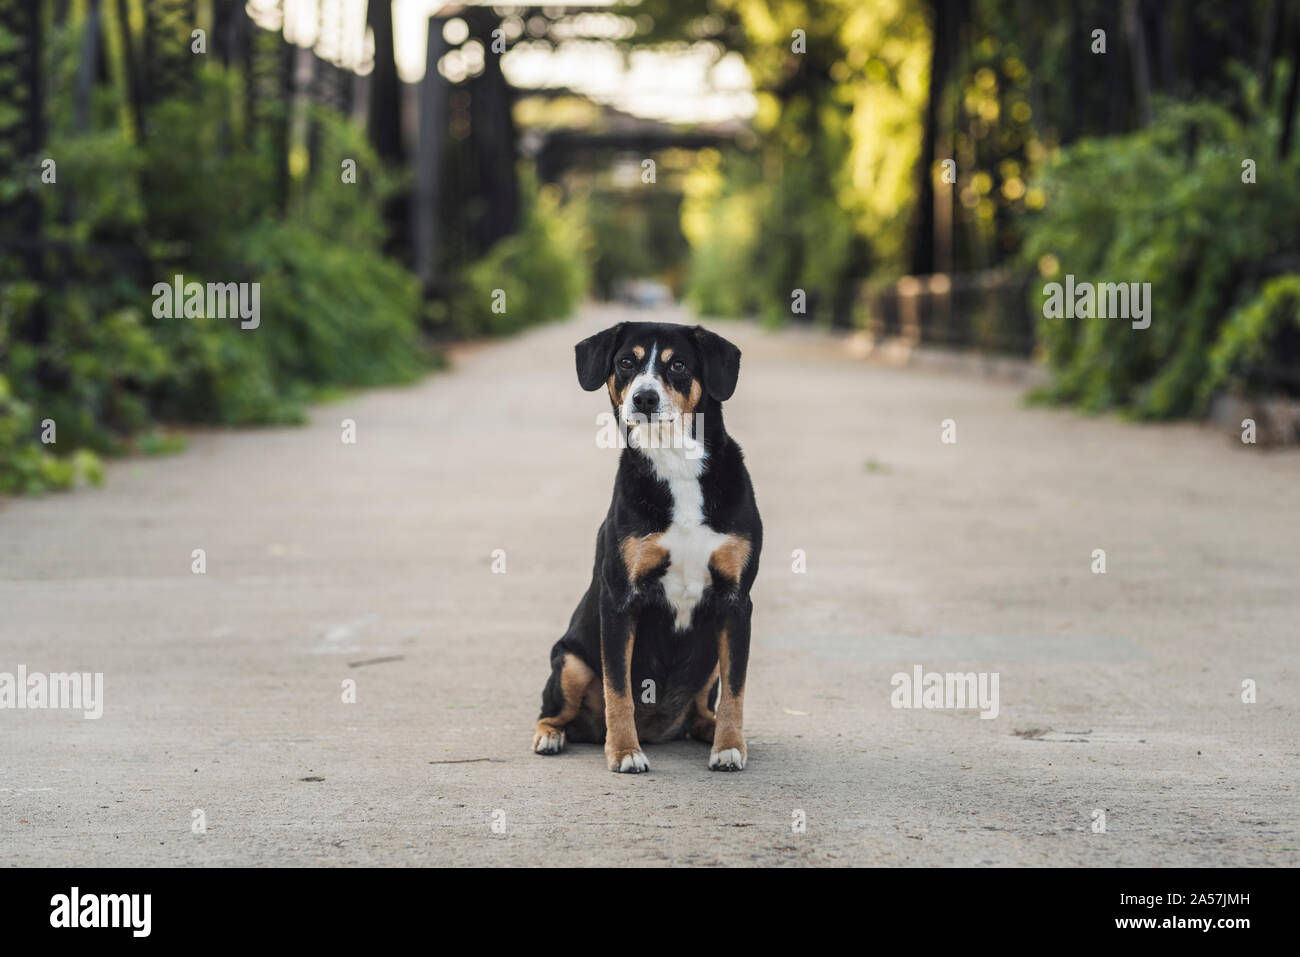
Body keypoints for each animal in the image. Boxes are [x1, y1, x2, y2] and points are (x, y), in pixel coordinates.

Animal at [530, 325, 759, 774]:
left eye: (678, 364)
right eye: (626, 362)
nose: (645, 398)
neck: (677, 466)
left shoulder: (737, 603)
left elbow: (736, 691)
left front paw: (729, 746)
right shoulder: (620, 601)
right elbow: (617, 689)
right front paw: (623, 752)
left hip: (709, 658)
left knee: (704, 709)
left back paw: (713, 732)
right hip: (570, 663)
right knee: (552, 712)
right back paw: (551, 736)